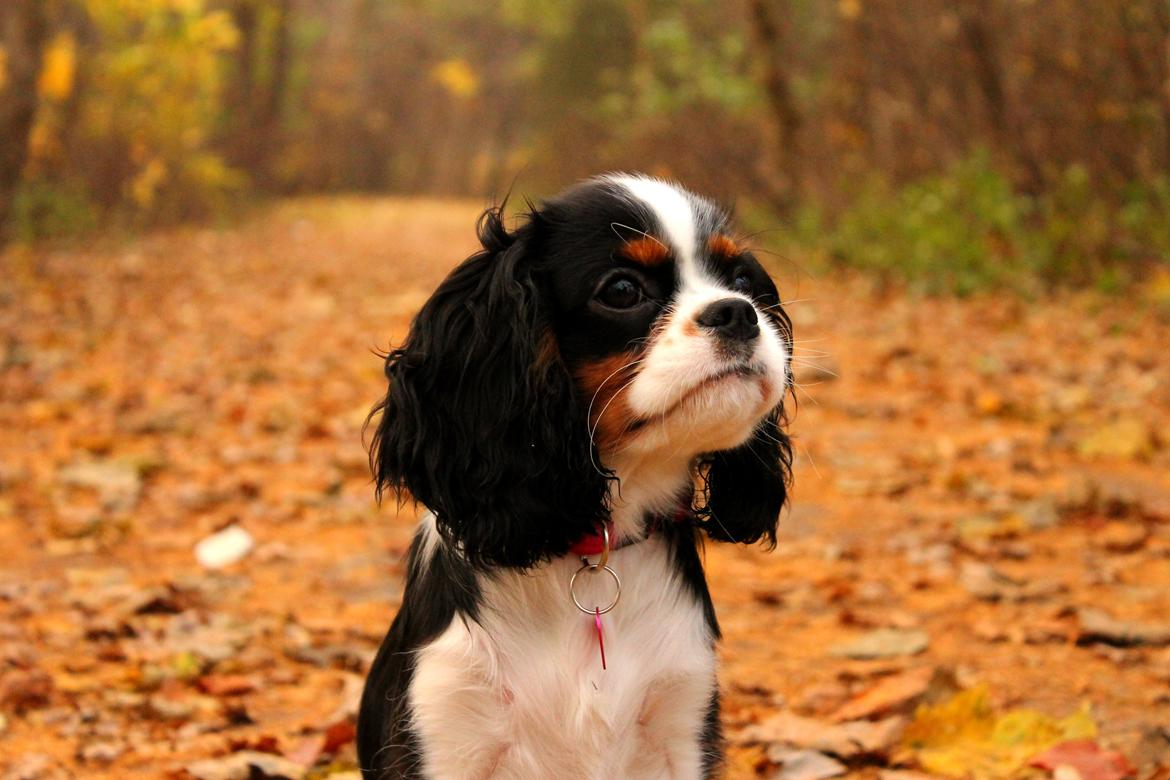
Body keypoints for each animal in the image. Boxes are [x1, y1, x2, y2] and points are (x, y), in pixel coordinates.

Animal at [358, 176, 795, 780]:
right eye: (622, 290)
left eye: (741, 280)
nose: (738, 312)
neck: (590, 546)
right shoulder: (448, 728)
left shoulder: (681, 726)